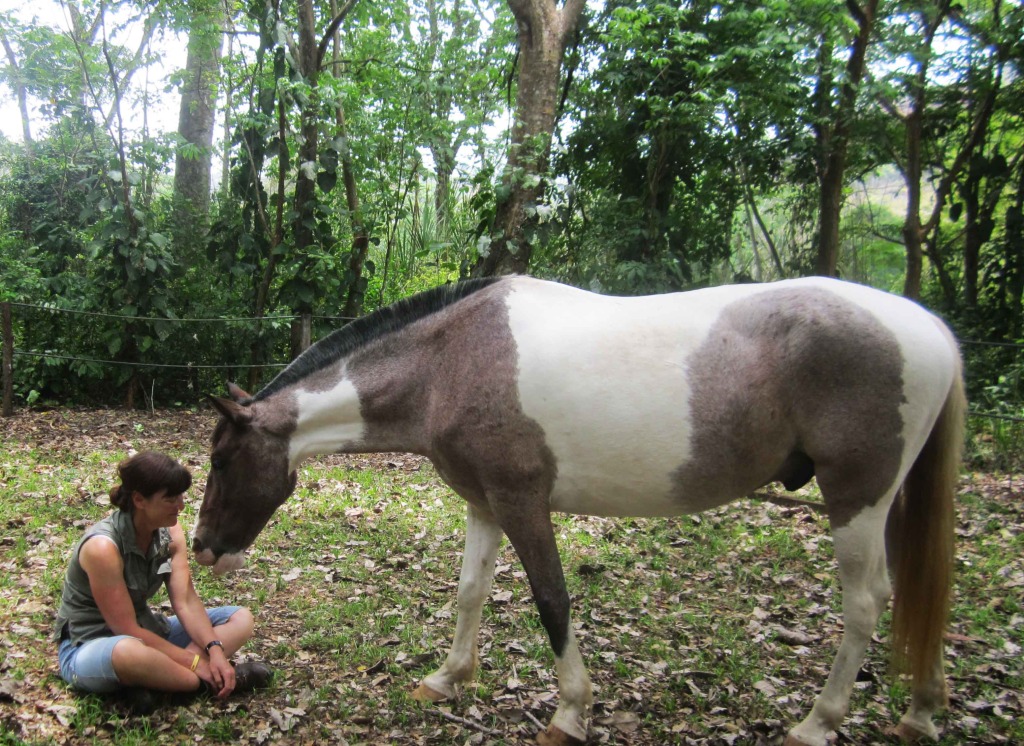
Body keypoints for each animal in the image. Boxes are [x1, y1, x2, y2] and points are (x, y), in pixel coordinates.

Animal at [193, 274, 966, 744]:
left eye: (222, 460)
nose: (202, 547)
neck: (450, 360)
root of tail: (930, 328)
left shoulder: (521, 502)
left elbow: (551, 600)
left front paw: (569, 711)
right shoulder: (484, 502)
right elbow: (470, 592)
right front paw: (448, 678)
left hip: (857, 498)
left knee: (866, 604)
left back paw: (817, 721)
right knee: (916, 598)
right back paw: (922, 712)